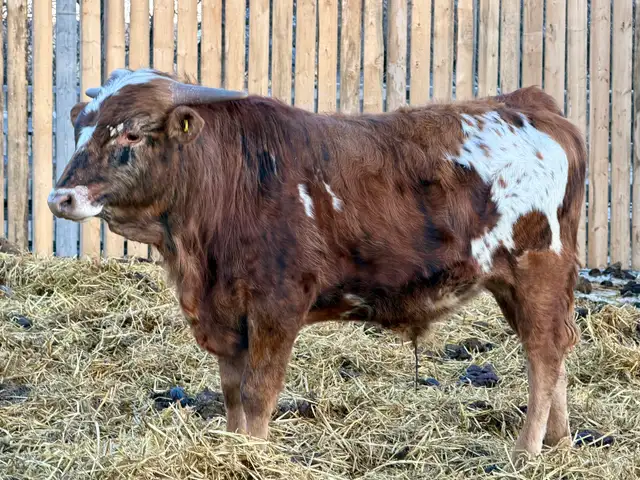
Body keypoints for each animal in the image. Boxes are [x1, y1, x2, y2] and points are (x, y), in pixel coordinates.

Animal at [48, 68, 586, 464]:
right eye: (81, 128)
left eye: (133, 134)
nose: (61, 197)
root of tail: (530, 104)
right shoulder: (226, 313)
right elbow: (232, 392)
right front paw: (232, 447)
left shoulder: (276, 306)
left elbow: (258, 393)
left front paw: (252, 454)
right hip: (515, 284)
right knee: (556, 349)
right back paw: (559, 440)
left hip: (536, 269)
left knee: (544, 354)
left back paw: (527, 449)